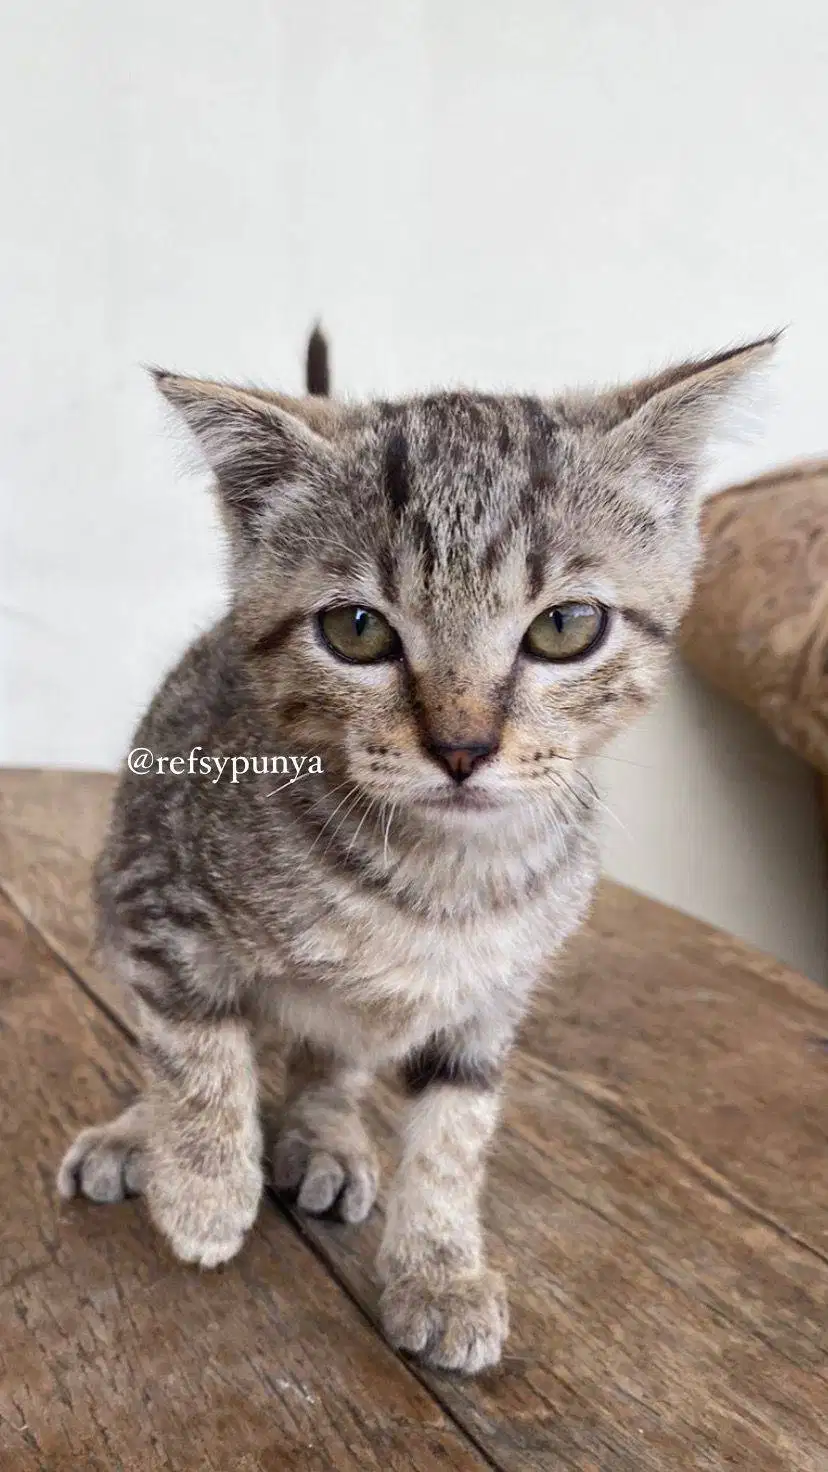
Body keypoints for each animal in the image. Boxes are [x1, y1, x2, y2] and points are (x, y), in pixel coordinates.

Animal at [59, 331, 772, 1366]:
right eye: (356, 629)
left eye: (567, 626)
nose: (464, 747)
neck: (442, 875)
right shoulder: (159, 896)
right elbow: (195, 1051)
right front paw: (202, 1188)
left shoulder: (493, 996)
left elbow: (453, 1135)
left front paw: (440, 1269)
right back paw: (138, 1139)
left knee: (333, 1062)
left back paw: (325, 1139)